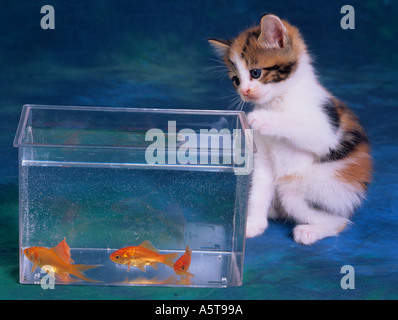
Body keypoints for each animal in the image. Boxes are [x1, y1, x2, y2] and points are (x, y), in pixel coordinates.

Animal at [210, 14, 372, 245]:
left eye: (256, 73)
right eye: (236, 80)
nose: (245, 92)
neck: (278, 101)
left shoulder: (325, 129)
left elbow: (300, 125)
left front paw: (260, 118)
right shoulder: (262, 158)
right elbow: (258, 189)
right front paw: (252, 225)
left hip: (308, 191)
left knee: (339, 221)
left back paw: (309, 231)